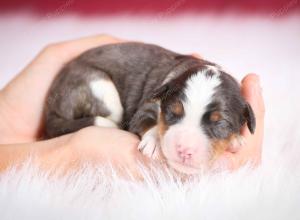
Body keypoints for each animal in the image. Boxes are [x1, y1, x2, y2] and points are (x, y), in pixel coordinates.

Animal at [44, 42, 255, 174]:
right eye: (172, 114)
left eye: (220, 124)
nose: (184, 150)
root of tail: (50, 106)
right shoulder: (148, 106)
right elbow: (148, 121)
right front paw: (154, 142)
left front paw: (236, 139)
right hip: (98, 85)